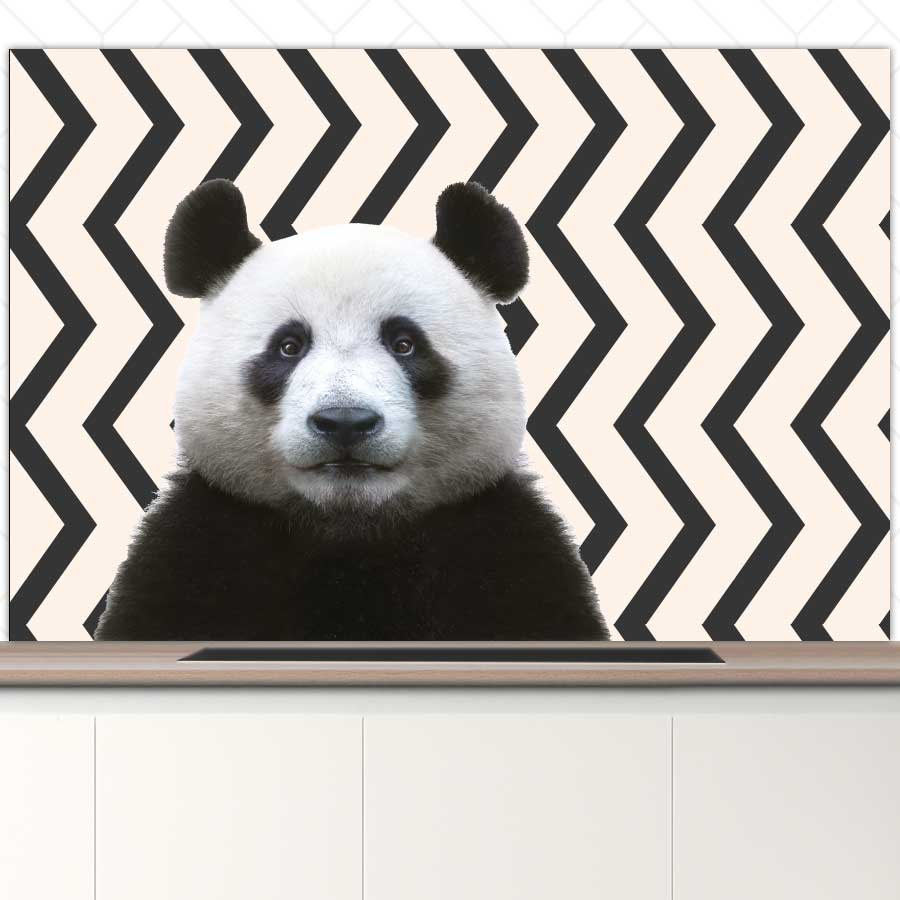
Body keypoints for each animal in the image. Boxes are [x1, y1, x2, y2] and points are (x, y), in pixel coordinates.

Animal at [94, 179, 609, 641]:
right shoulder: (200, 547)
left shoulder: (502, 548)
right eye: (289, 346)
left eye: (404, 343)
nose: (345, 422)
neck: (350, 531)